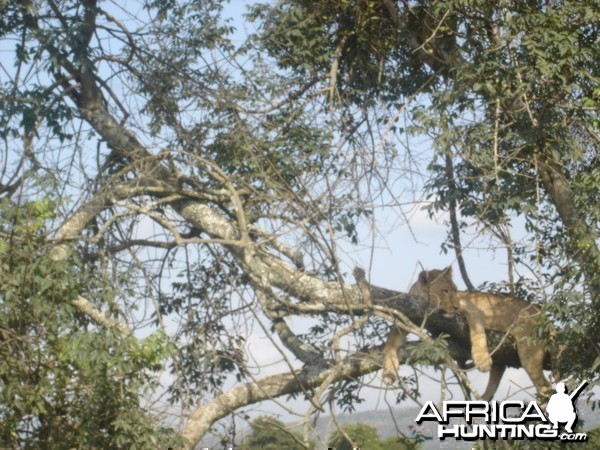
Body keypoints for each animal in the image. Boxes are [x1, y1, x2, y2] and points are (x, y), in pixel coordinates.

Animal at [382, 266, 552, 400]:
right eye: (445, 291)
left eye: (456, 290)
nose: (456, 306)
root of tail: (540, 312)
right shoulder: (405, 318)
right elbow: (390, 342)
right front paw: (388, 373)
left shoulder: (473, 310)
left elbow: (477, 332)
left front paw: (482, 360)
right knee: (498, 372)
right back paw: (483, 400)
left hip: (529, 350)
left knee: (545, 386)